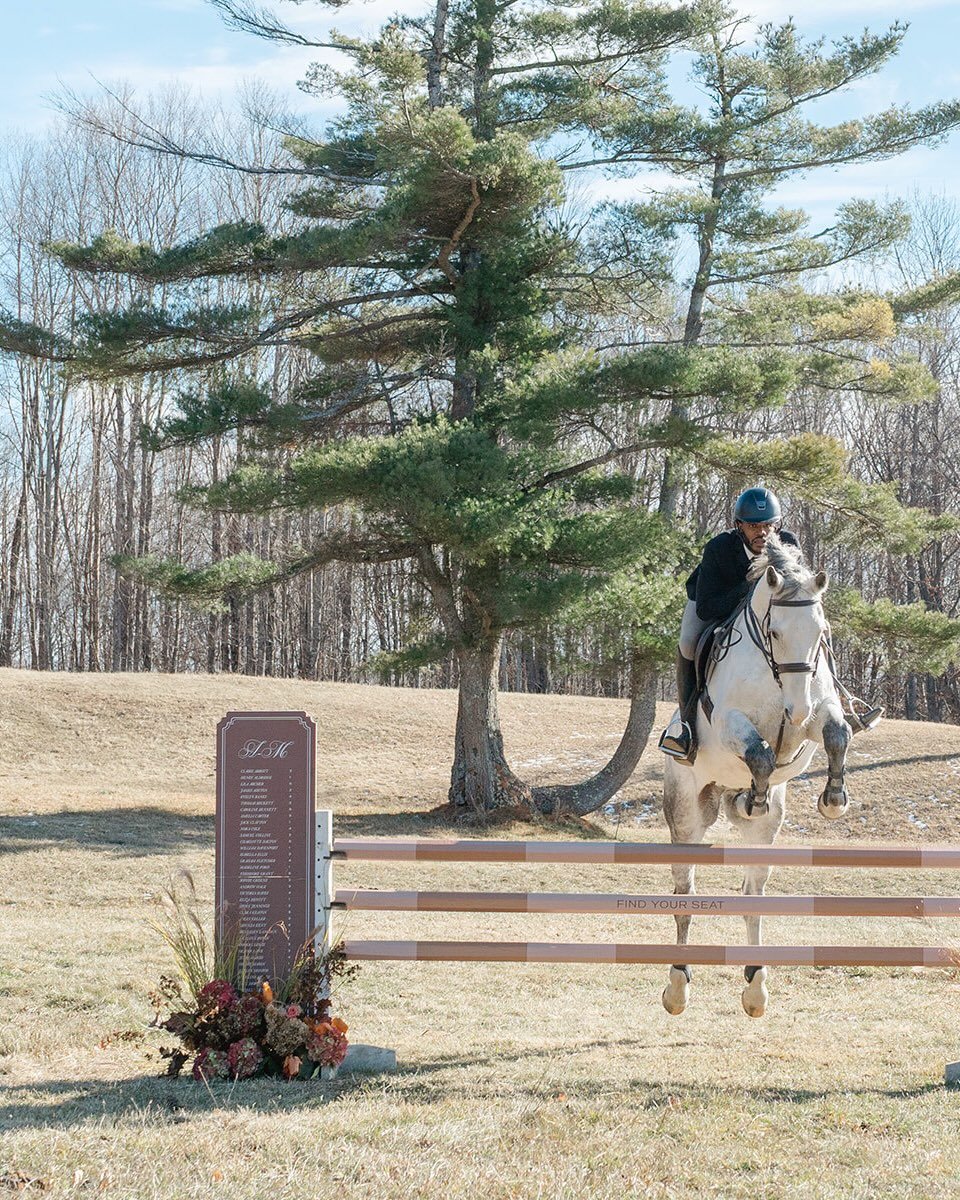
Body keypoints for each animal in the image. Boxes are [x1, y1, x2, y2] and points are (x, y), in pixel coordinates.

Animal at [661, 536, 854, 1019]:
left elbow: (836, 733)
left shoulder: (816, 715)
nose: (797, 709)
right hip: (687, 812)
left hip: (763, 834)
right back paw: (677, 987)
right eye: (777, 633)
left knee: (753, 894)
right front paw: (761, 790)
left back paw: (755, 985)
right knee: (684, 894)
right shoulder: (731, 722)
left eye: (821, 634)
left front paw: (834, 798)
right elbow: (761, 753)